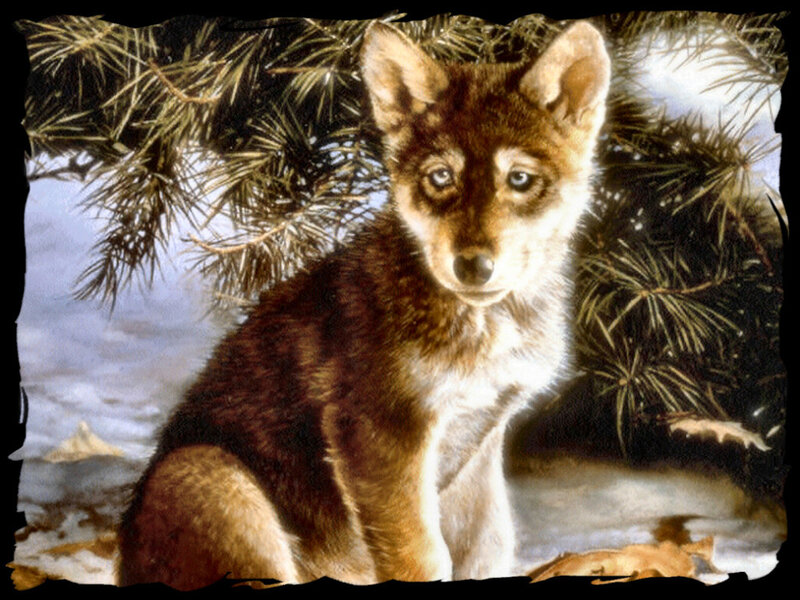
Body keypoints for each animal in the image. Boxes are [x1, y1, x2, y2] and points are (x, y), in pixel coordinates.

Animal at [117, 19, 611, 589]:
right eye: (440, 177)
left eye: (520, 179)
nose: (473, 266)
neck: (488, 326)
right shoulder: (380, 433)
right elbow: (422, 558)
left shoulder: (481, 439)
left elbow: (485, 544)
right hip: (212, 479)